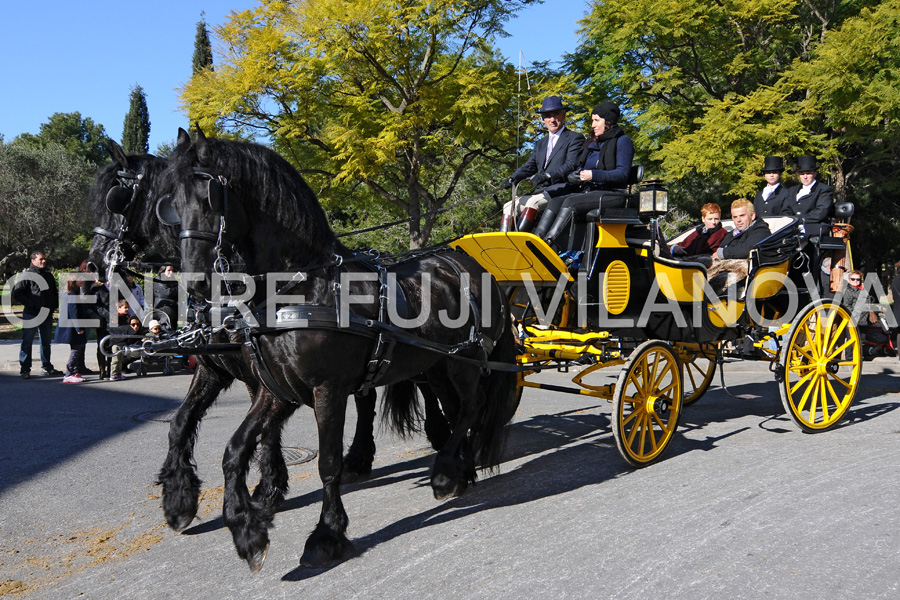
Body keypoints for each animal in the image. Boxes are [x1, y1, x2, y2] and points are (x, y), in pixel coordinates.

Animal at [161, 129, 512, 568]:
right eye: (172, 204)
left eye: (210, 196)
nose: (192, 283)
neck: (302, 286)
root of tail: (469, 264)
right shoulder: (275, 389)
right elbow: (233, 447)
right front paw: (245, 526)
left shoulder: (326, 389)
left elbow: (328, 462)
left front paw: (327, 534)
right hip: (437, 364)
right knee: (454, 409)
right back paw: (457, 470)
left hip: (465, 361)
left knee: (471, 407)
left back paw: (446, 471)